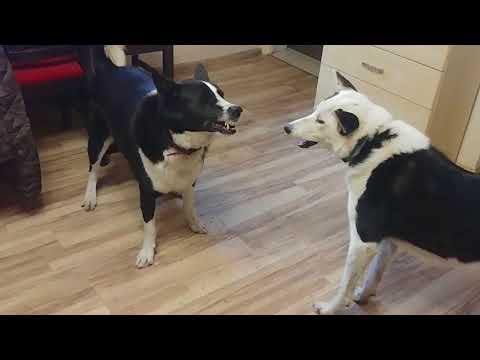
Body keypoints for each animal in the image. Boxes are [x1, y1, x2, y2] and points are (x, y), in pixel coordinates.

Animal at [82, 45, 244, 268]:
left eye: (222, 95)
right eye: (206, 101)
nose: (238, 109)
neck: (173, 140)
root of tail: (112, 70)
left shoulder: (190, 181)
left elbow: (189, 206)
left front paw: (194, 223)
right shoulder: (146, 192)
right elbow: (149, 225)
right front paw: (147, 252)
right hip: (98, 138)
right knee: (93, 168)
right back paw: (90, 196)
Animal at [284, 71, 480, 314]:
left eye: (321, 121)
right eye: (316, 109)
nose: (287, 127)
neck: (371, 140)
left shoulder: (363, 242)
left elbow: (345, 286)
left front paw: (331, 308)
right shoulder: (387, 242)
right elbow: (373, 275)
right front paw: (363, 298)